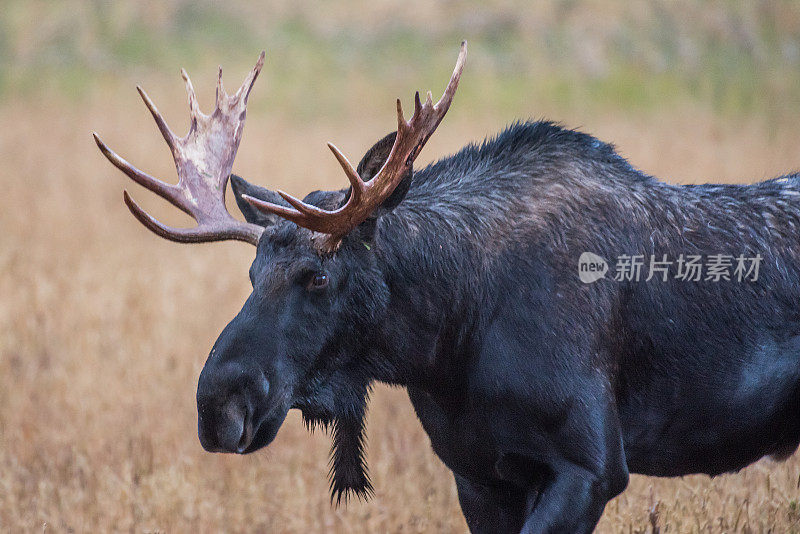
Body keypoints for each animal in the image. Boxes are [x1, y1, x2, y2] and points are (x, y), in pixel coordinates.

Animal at [90, 43, 800, 534]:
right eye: (251, 273)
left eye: (318, 276)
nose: (218, 406)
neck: (445, 339)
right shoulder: (478, 473)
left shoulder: (591, 467)